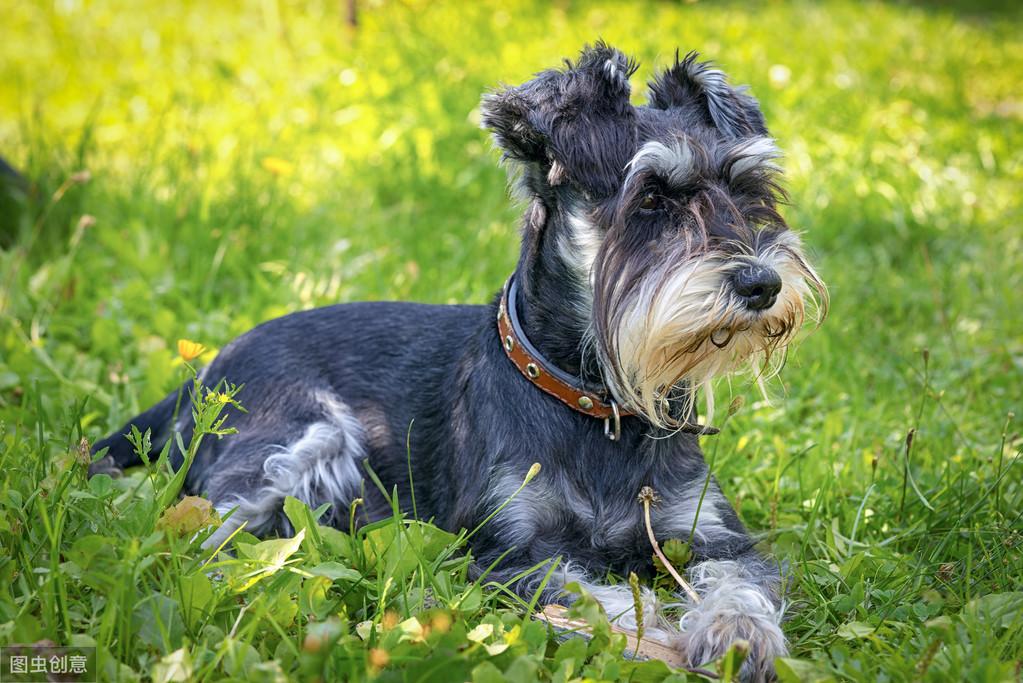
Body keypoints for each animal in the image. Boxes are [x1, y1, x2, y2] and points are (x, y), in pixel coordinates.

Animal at [90, 43, 822, 683]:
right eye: (651, 198)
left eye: (748, 189)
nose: (761, 284)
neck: (595, 401)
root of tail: (206, 370)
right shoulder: (506, 551)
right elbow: (599, 599)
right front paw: (661, 642)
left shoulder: (711, 536)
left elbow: (740, 584)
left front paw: (738, 637)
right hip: (300, 441)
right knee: (208, 541)